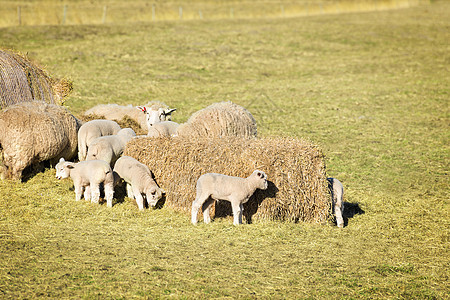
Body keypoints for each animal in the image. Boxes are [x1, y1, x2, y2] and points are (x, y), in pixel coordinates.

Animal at [125, 137, 332, 224]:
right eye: (264, 178)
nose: (267, 185)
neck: (247, 184)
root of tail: (200, 177)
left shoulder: (239, 200)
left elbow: (241, 211)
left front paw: (240, 222)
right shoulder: (234, 198)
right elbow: (237, 210)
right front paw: (236, 223)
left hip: (210, 196)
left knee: (205, 207)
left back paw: (207, 221)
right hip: (203, 193)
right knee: (195, 205)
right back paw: (194, 222)